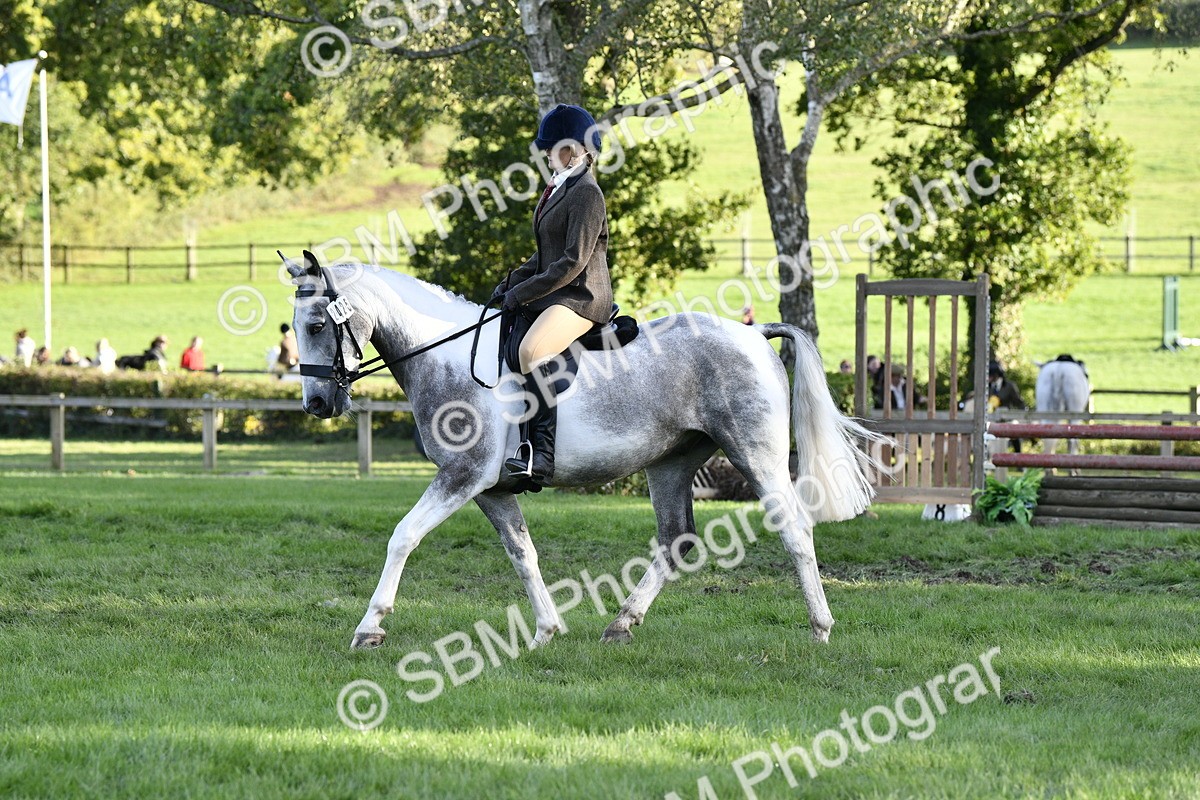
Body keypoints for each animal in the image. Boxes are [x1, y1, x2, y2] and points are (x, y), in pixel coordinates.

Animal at [283, 253, 880, 650]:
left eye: (315, 324)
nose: (316, 403)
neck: (447, 358)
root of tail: (755, 335)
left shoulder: (461, 476)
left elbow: (403, 536)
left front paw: (370, 626)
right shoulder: (491, 489)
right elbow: (523, 555)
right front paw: (546, 631)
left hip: (755, 456)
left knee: (795, 530)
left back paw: (820, 629)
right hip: (670, 463)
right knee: (675, 540)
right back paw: (621, 623)